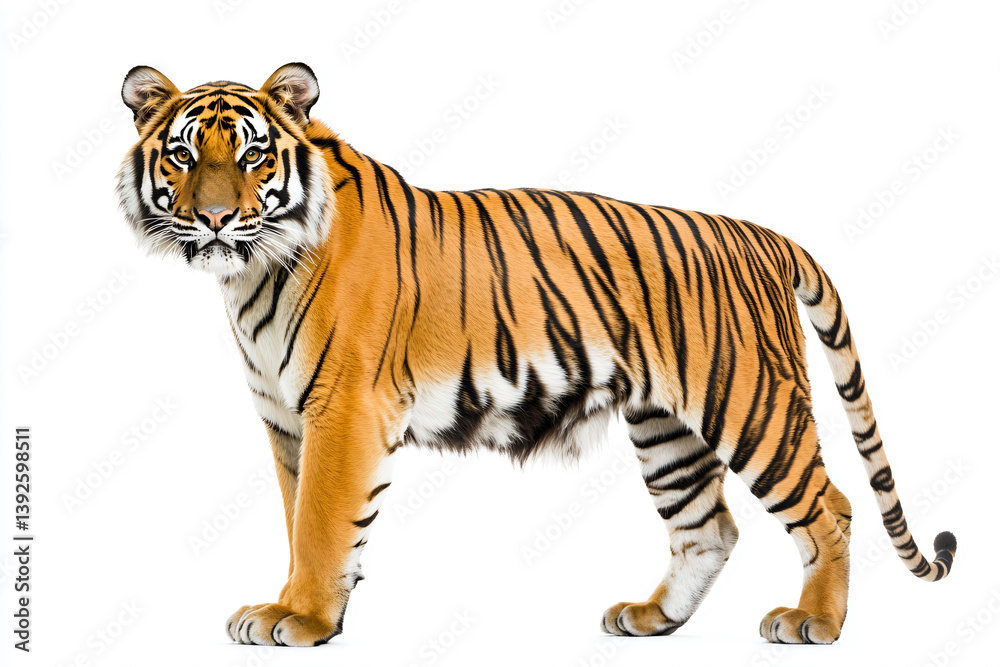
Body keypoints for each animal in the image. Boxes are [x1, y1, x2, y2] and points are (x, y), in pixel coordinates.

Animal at [116, 63, 956, 647]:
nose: (215, 218)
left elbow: (321, 523)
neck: (253, 271)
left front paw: (301, 617)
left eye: (254, 157)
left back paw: (815, 622)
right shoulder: (287, 419)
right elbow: (300, 521)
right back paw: (652, 617)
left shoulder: (340, 408)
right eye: (183, 157)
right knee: (709, 527)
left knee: (830, 506)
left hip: (750, 404)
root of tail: (764, 235)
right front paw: (310, 607)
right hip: (666, 428)